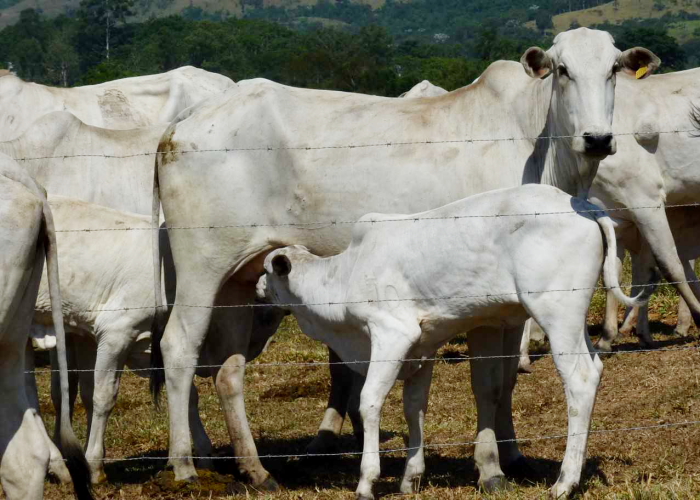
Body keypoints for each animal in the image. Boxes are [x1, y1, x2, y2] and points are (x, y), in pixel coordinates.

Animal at [258, 185, 652, 500]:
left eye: (266, 270)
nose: (259, 287)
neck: (345, 275)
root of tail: (584, 206)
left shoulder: (392, 333)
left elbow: (369, 401)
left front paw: (367, 482)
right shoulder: (422, 345)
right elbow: (414, 407)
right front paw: (411, 478)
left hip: (557, 314)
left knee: (581, 380)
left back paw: (565, 482)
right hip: (573, 321)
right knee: (594, 367)